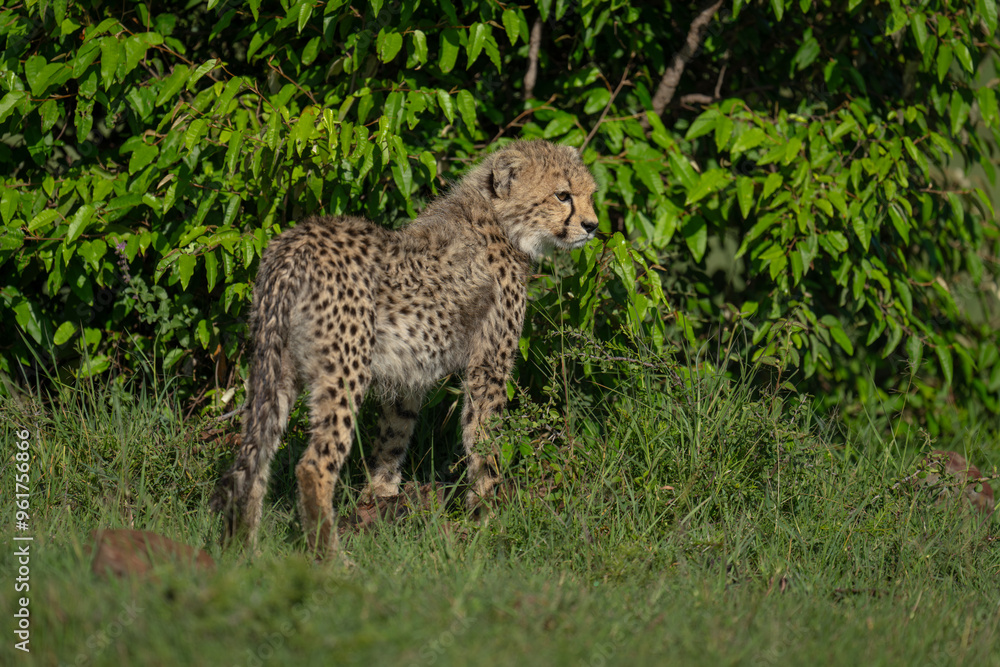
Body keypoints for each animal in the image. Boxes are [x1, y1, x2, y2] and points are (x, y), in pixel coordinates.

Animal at [211, 139, 599, 558]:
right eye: (563, 195)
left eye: (590, 194)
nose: (592, 226)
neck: (498, 218)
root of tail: (295, 242)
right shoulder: (488, 365)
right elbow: (483, 441)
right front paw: (487, 519)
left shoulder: (410, 371)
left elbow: (393, 437)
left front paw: (380, 499)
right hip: (345, 368)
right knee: (313, 465)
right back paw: (332, 559)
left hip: (274, 365)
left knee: (256, 456)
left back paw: (247, 553)